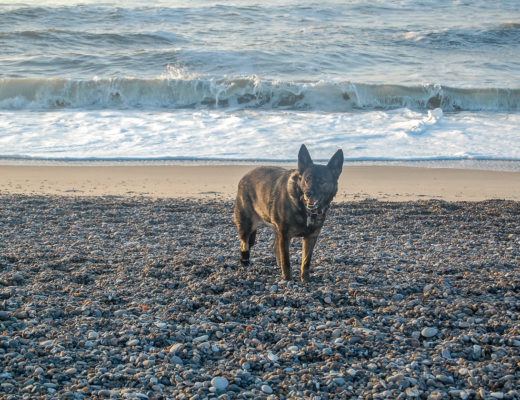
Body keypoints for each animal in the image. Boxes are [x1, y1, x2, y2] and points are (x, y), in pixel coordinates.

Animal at [234, 145, 344, 282]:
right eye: (307, 179)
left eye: (322, 181)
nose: (308, 193)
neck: (304, 208)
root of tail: (245, 176)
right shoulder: (285, 236)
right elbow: (286, 260)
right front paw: (287, 278)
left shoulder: (310, 237)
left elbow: (306, 261)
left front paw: (305, 279)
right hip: (247, 223)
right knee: (244, 243)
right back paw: (245, 261)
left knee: (274, 246)